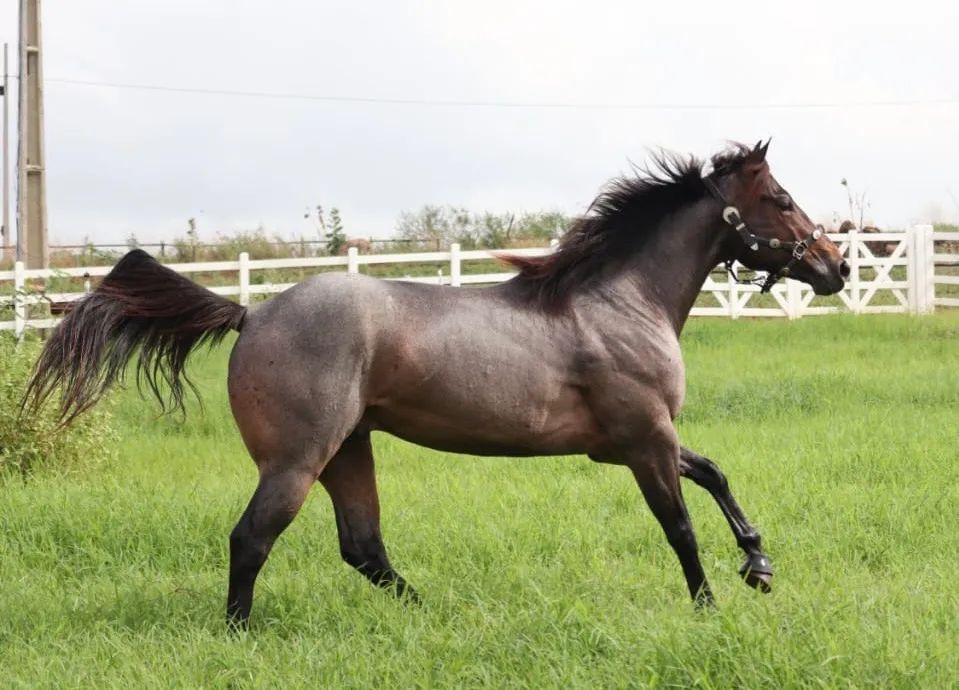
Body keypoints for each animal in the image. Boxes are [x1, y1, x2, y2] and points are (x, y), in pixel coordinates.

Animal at [22, 141, 848, 628]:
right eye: (779, 200)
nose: (835, 266)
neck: (619, 299)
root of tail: (251, 311)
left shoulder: (627, 441)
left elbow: (714, 474)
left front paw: (758, 565)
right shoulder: (642, 440)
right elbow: (678, 524)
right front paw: (708, 604)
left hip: (349, 450)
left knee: (363, 547)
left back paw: (435, 612)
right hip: (297, 460)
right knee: (253, 537)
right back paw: (240, 633)